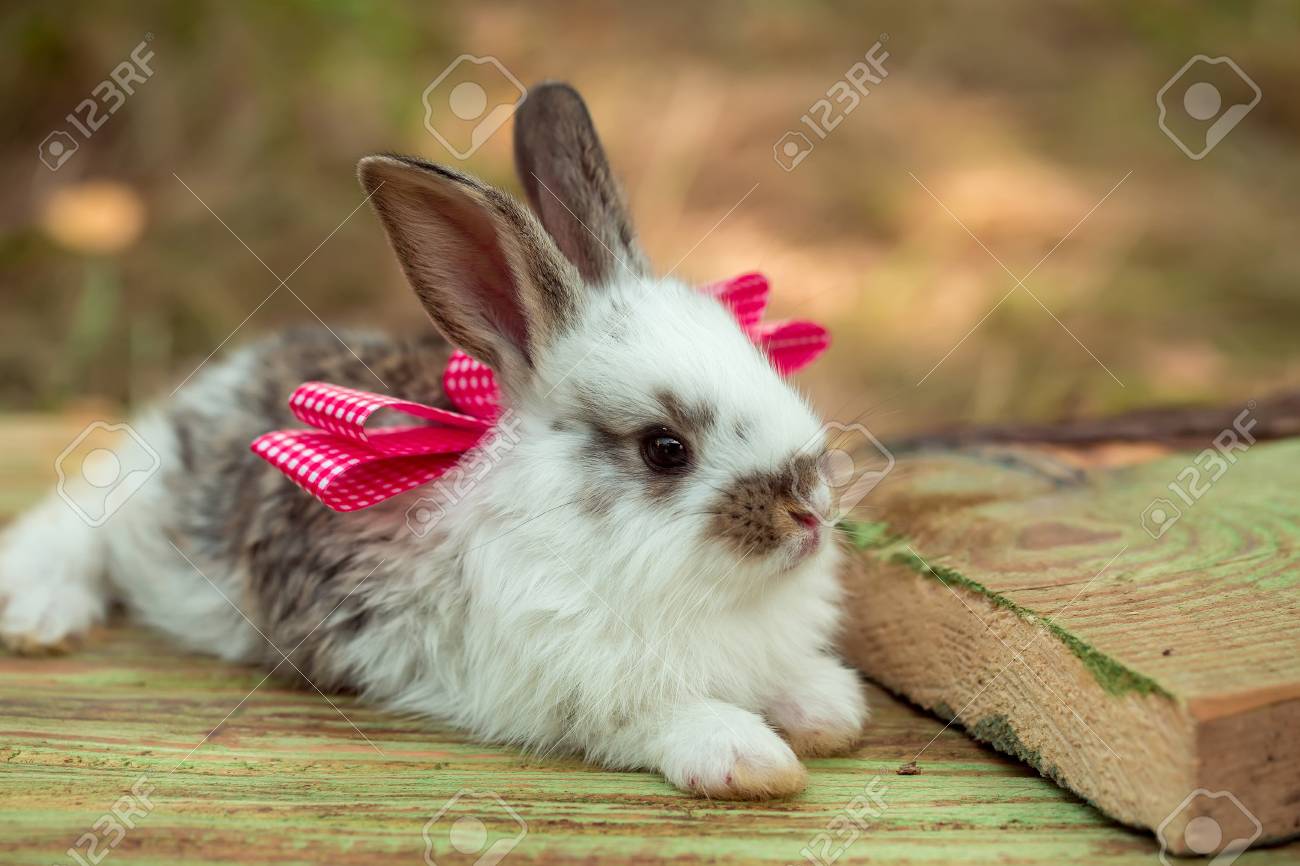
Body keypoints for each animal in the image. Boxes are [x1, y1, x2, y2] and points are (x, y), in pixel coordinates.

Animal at [0, 82, 868, 799]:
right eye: (664, 448)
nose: (809, 512)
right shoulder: (562, 689)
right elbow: (655, 718)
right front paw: (750, 759)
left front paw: (828, 708)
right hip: (144, 498)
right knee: (76, 520)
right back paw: (41, 615)